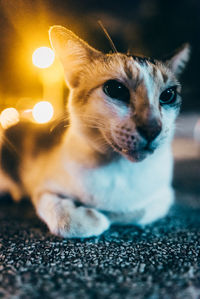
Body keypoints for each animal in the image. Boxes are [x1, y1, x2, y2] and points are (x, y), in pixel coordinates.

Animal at [0, 25, 190, 238]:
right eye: (116, 89)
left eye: (168, 95)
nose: (152, 129)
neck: (119, 168)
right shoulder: (42, 188)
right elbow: (61, 214)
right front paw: (92, 218)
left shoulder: (165, 195)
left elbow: (136, 212)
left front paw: (108, 213)